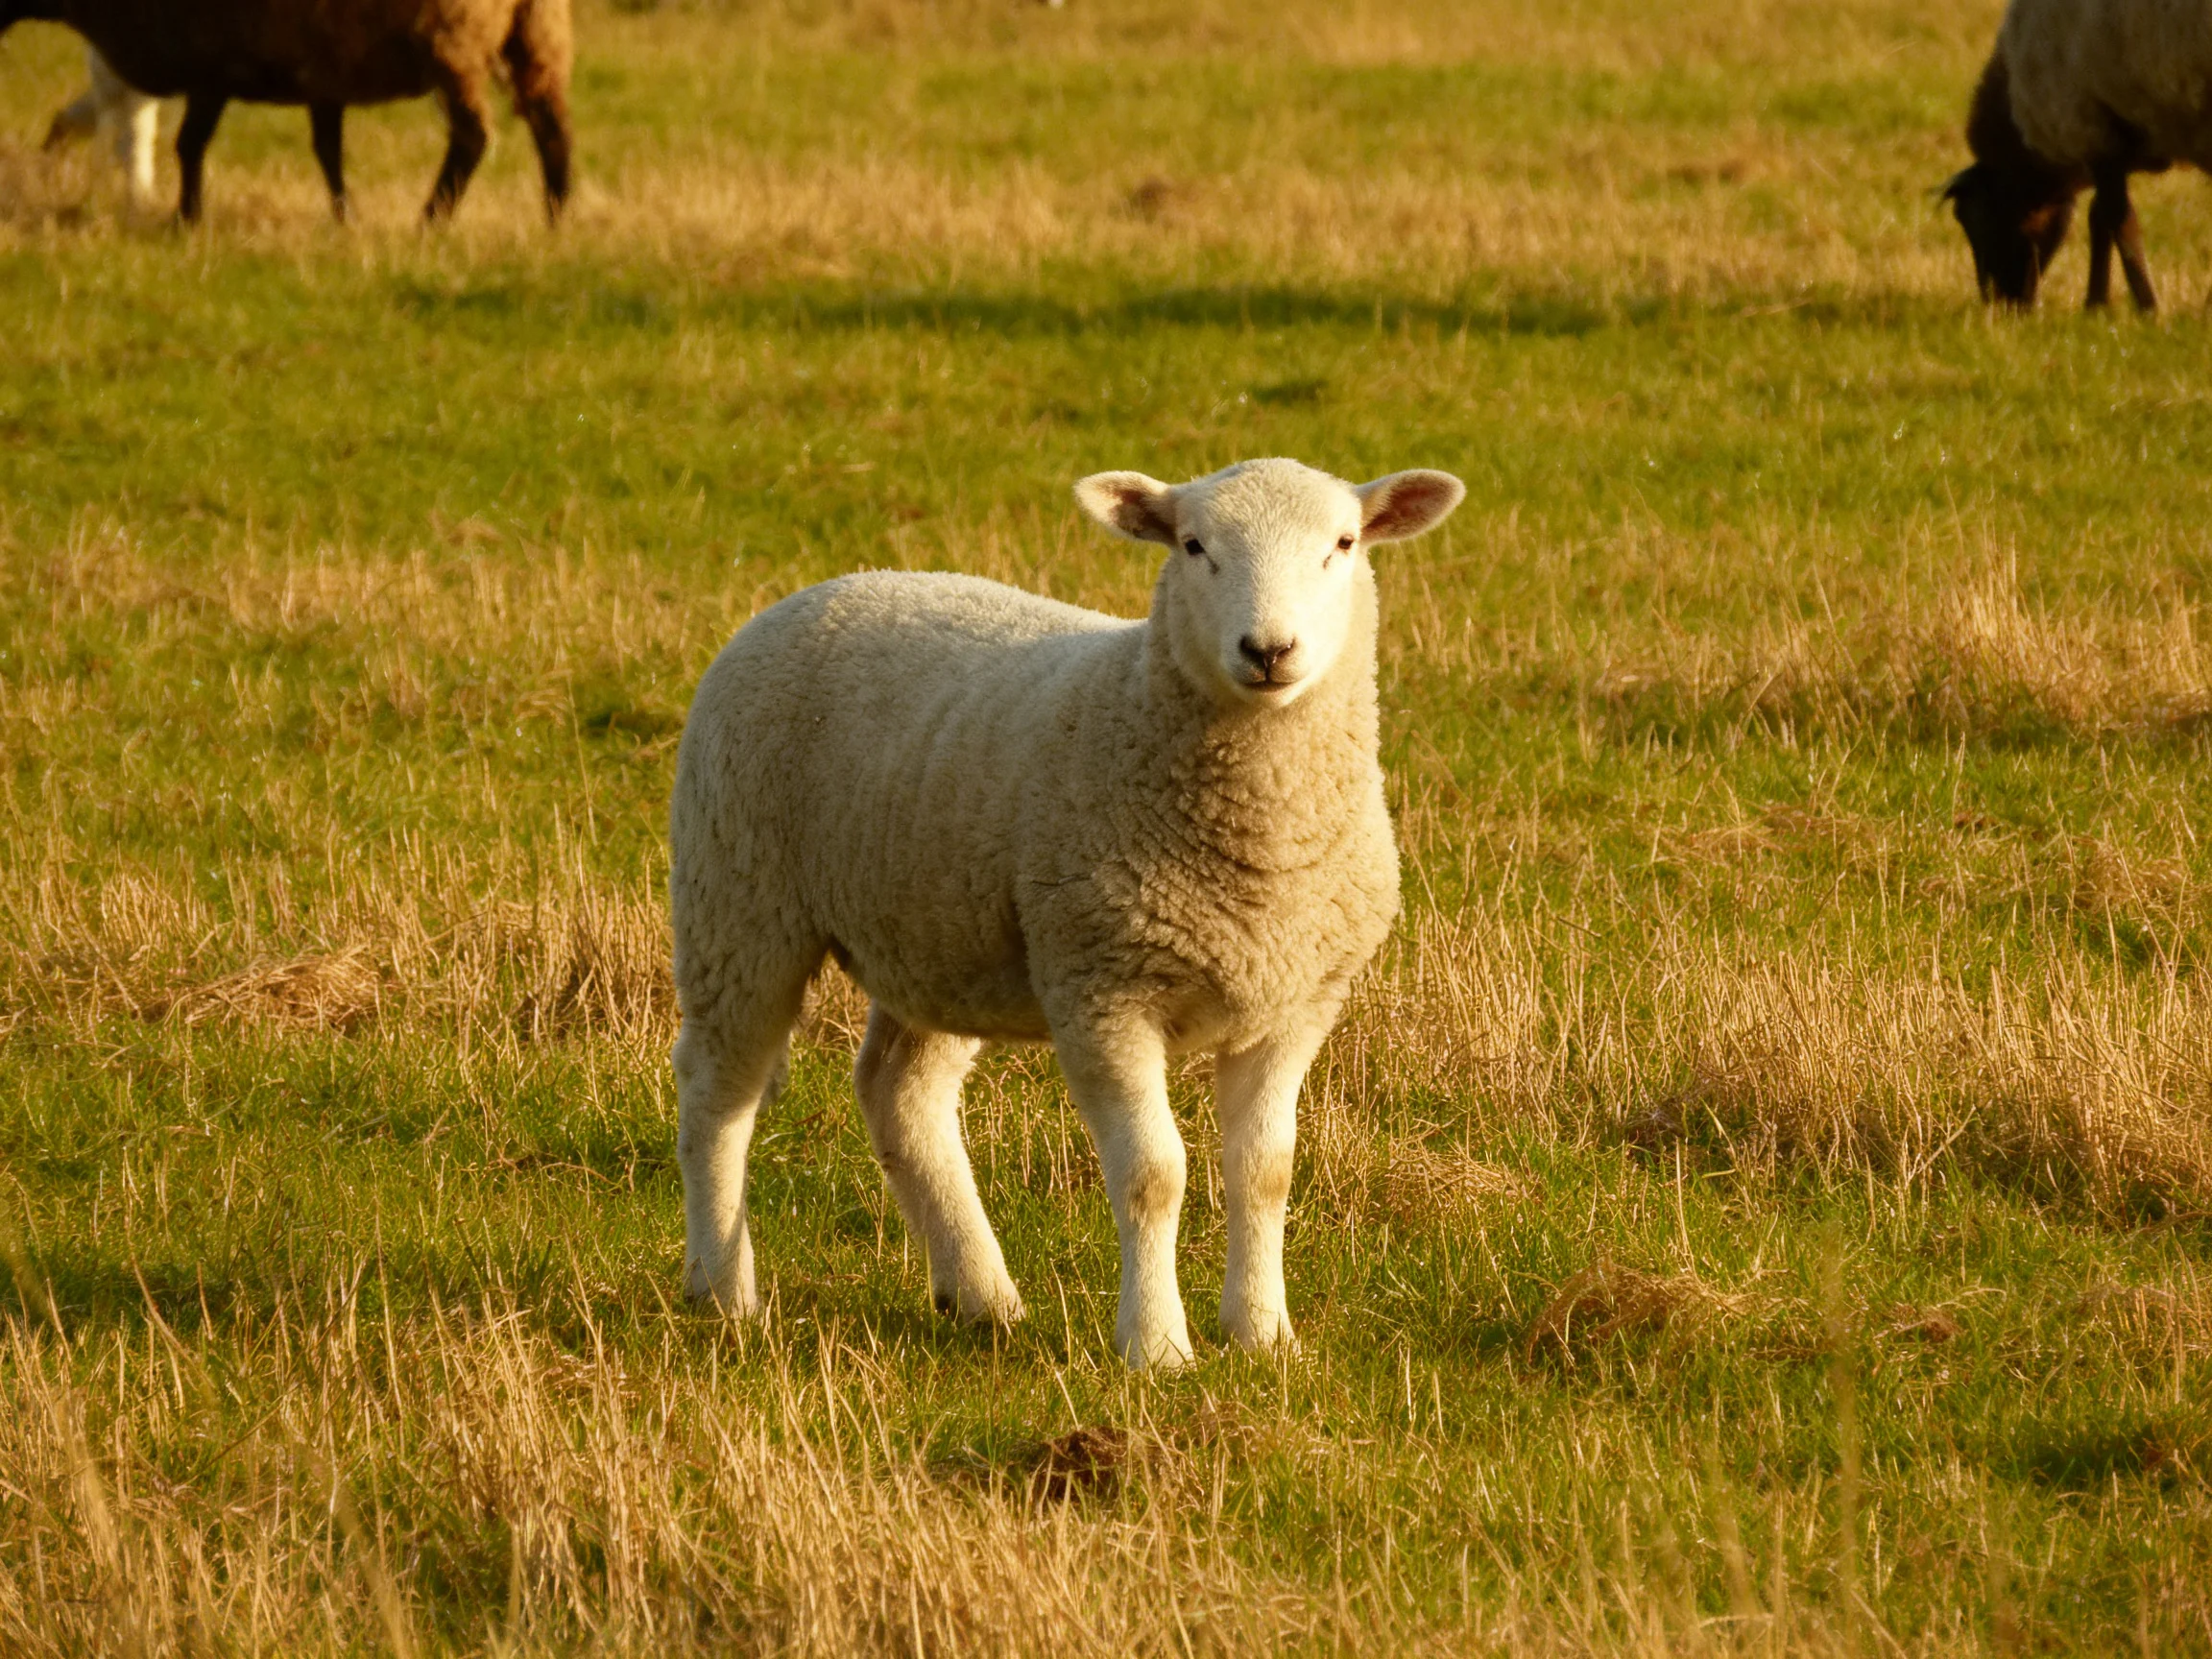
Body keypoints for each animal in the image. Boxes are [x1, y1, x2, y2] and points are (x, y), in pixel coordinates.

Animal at [668, 458, 1465, 1369]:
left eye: (1343, 544)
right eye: (1193, 546)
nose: (1268, 651)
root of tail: (825, 588)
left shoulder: (1295, 1003)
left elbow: (1265, 1170)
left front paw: (1262, 1335)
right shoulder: (1103, 990)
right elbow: (1155, 1174)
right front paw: (1157, 1347)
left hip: (937, 937)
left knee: (900, 1094)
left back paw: (980, 1294)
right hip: (738, 898)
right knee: (718, 1091)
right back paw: (724, 1289)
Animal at [1941, 0, 2210, 311]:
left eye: (1974, 220)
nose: (2001, 305)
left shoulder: (2086, 123)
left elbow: (2119, 219)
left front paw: (2148, 308)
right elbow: (2099, 216)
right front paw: (2096, 305)